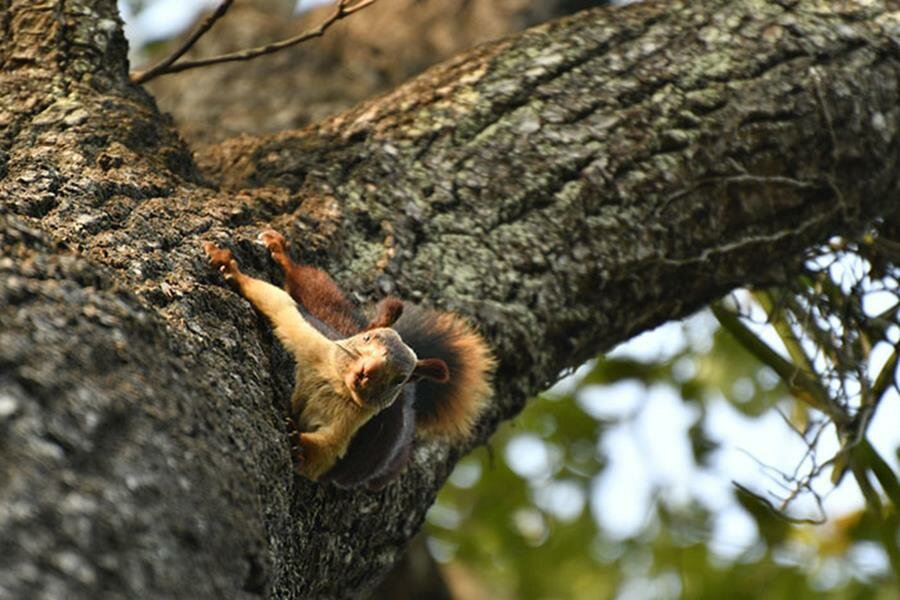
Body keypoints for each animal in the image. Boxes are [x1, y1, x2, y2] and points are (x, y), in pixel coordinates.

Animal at [202, 230, 492, 488]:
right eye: (368, 339)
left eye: (399, 378)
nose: (367, 372)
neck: (337, 384)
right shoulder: (314, 340)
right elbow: (279, 302)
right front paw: (227, 266)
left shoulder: (350, 430)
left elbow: (322, 458)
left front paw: (297, 443)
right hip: (330, 318)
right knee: (314, 288)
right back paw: (281, 252)